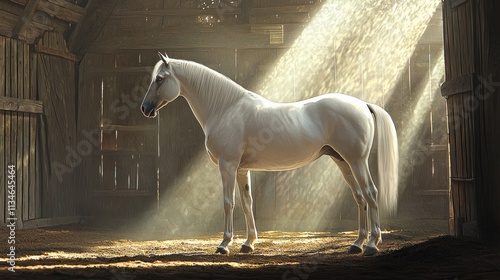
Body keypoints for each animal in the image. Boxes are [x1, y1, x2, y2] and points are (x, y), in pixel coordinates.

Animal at [141, 52, 398, 256]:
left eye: (160, 79)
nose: (145, 109)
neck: (226, 108)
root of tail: (363, 104)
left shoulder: (227, 165)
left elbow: (228, 203)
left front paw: (224, 244)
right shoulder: (242, 169)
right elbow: (247, 203)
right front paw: (248, 243)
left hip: (357, 161)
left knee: (371, 194)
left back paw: (372, 244)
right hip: (343, 161)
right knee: (360, 197)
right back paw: (357, 244)